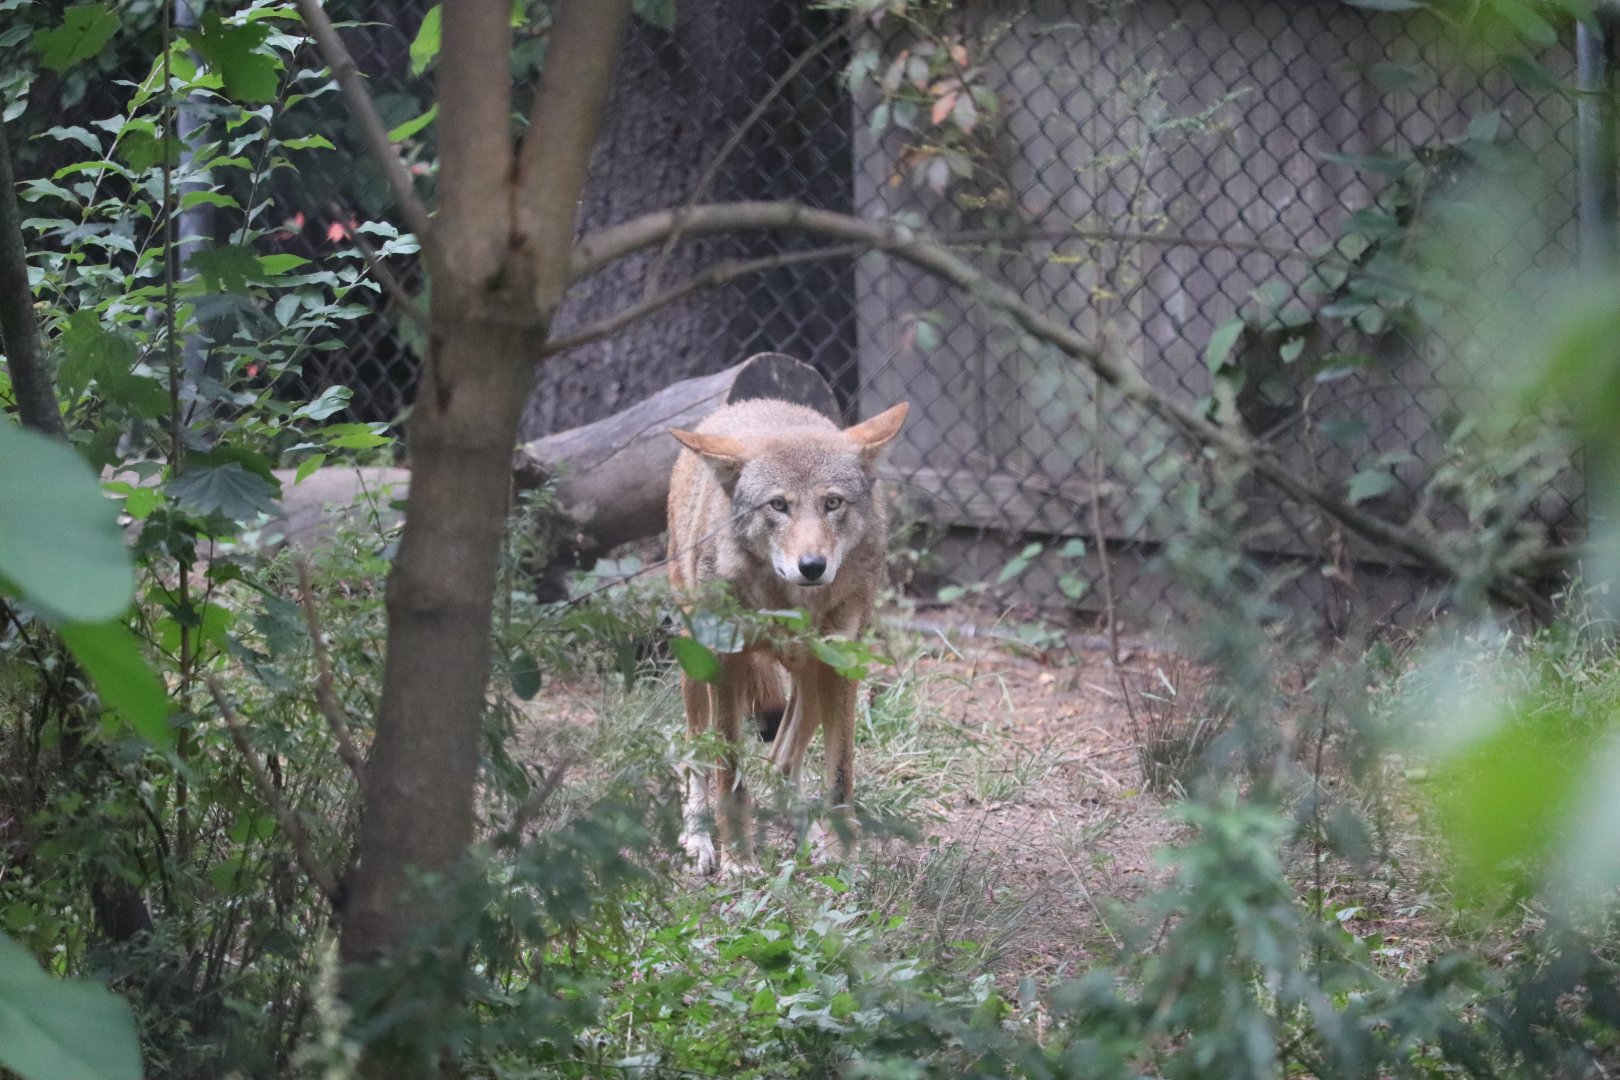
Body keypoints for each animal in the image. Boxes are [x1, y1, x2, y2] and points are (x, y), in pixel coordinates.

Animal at [666, 397, 909, 874]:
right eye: (778, 505)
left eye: (832, 502)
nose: (812, 565)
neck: (793, 603)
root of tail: (745, 404)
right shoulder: (727, 661)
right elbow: (729, 772)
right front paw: (738, 862)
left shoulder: (842, 664)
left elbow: (840, 778)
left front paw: (844, 860)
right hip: (696, 661)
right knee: (694, 754)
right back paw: (698, 838)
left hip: (811, 677)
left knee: (780, 759)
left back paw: (808, 838)